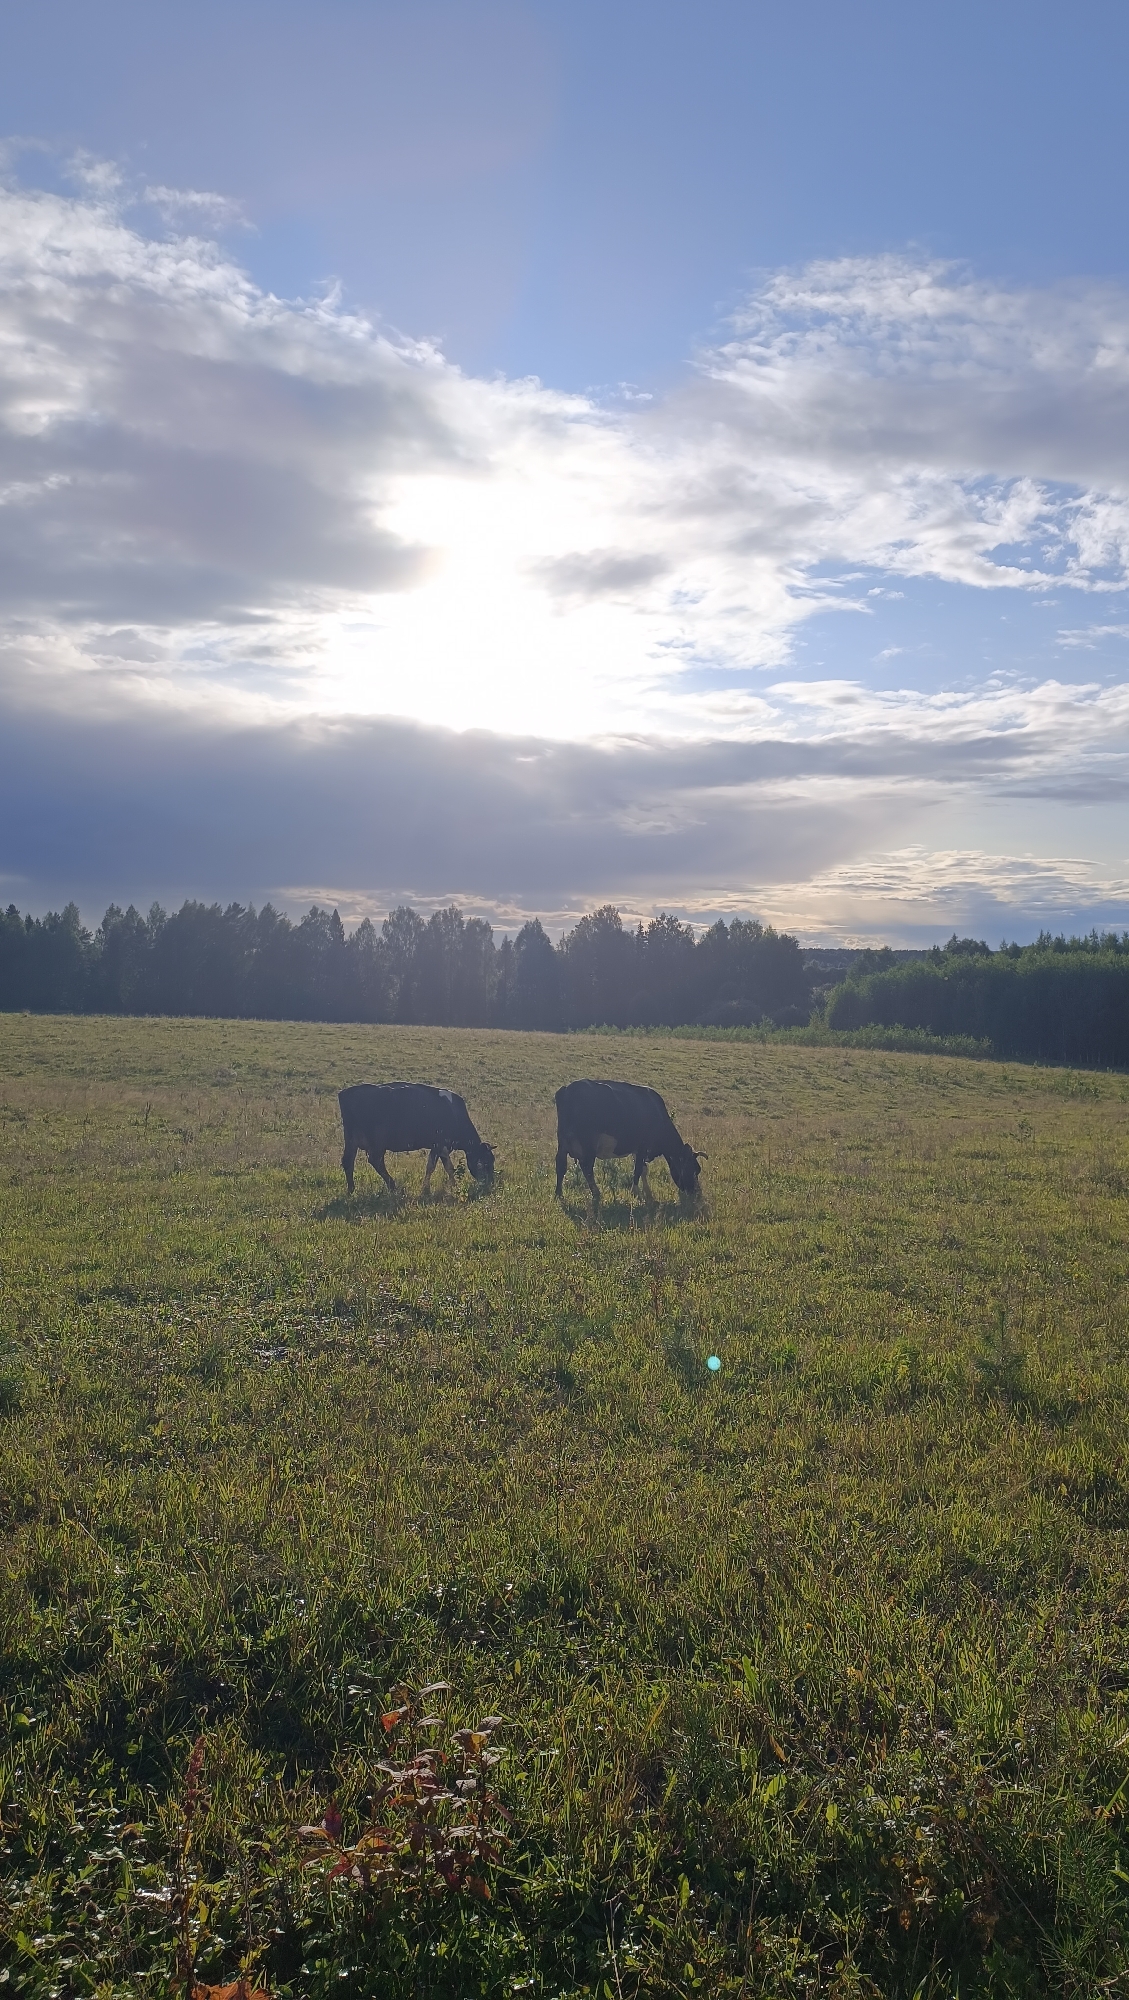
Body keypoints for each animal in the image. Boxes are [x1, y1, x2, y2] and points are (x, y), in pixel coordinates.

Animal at [338, 1082, 495, 1196]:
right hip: (377, 1142)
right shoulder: (438, 1144)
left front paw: (453, 1186)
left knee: (348, 1161)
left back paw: (351, 1190)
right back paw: (393, 1186)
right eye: (485, 1162)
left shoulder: (443, 1147)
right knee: (375, 1160)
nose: (490, 1184)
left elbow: (449, 1167)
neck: (454, 1113)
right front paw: (426, 1189)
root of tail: (346, 1093)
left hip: (352, 1140)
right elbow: (431, 1167)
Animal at [554, 1078, 703, 1208]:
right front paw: (636, 1193)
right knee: (587, 1167)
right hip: (588, 1143)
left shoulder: (637, 1150)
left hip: (563, 1143)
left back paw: (558, 1193)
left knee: (561, 1165)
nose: (696, 1192)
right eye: (693, 1169)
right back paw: (596, 1193)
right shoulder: (642, 1146)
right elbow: (638, 1170)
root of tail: (567, 1089)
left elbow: (643, 1170)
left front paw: (648, 1194)